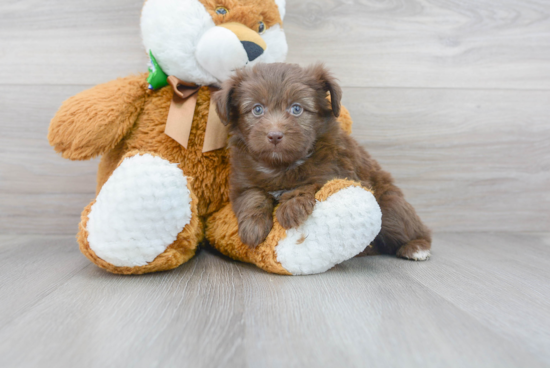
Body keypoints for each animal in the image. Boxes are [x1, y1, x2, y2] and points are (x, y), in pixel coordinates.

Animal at [218, 62, 434, 258]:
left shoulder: (337, 172)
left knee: (411, 228)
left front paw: (291, 207)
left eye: (296, 109)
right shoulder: (242, 181)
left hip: (389, 208)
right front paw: (252, 227)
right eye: (257, 109)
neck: (281, 165)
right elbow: (252, 196)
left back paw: (417, 248)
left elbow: (312, 183)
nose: (275, 135)